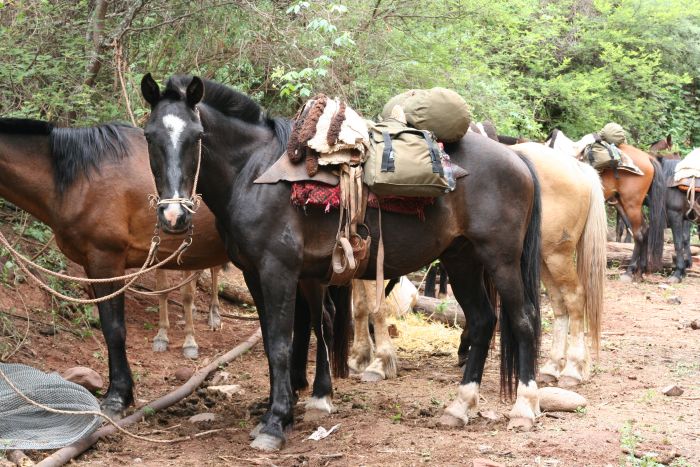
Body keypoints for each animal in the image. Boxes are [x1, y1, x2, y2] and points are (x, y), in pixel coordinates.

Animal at [142, 75, 544, 452]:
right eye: (149, 136)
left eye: (196, 136)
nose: (174, 217)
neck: (253, 173)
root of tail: (518, 160)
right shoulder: (256, 274)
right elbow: (279, 342)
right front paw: (279, 413)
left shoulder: (278, 270)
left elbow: (282, 341)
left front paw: (275, 424)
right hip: (462, 259)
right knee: (483, 320)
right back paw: (459, 408)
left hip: (500, 258)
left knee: (522, 320)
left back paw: (524, 408)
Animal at [544, 129, 664, 282]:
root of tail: (648, 158)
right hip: (627, 204)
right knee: (645, 229)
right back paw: (639, 272)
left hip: (631, 204)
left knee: (638, 234)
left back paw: (630, 272)